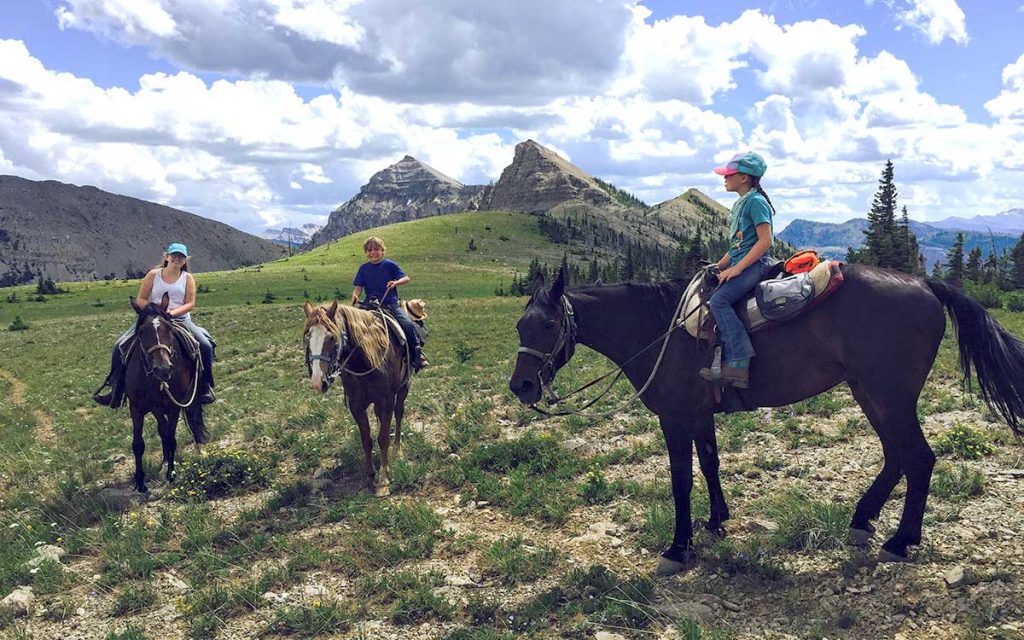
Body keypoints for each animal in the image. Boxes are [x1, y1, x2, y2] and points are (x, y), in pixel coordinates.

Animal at [124, 293, 206, 493]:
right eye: (141, 331)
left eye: (168, 328)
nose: (162, 369)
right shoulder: (138, 407)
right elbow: (139, 443)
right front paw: (140, 481)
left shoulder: (173, 405)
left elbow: (171, 439)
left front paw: (171, 474)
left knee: (192, 419)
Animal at [303, 301, 411, 496]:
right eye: (307, 338)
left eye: (331, 337)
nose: (317, 382)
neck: (365, 361)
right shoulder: (356, 405)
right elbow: (366, 440)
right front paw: (369, 475)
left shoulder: (387, 400)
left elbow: (383, 438)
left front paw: (383, 480)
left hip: (403, 388)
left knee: (399, 414)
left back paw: (397, 450)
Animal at [509, 266, 1024, 575]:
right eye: (519, 325)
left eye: (550, 325)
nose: (522, 386)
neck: (657, 330)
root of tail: (924, 286)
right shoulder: (700, 415)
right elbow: (710, 465)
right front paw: (716, 522)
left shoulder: (675, 418)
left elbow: (681, 482)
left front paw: (678, 548)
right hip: (871, 393)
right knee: (898, 456)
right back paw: (864, 522)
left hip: (889, 395)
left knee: (918, 459)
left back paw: (899, 541)